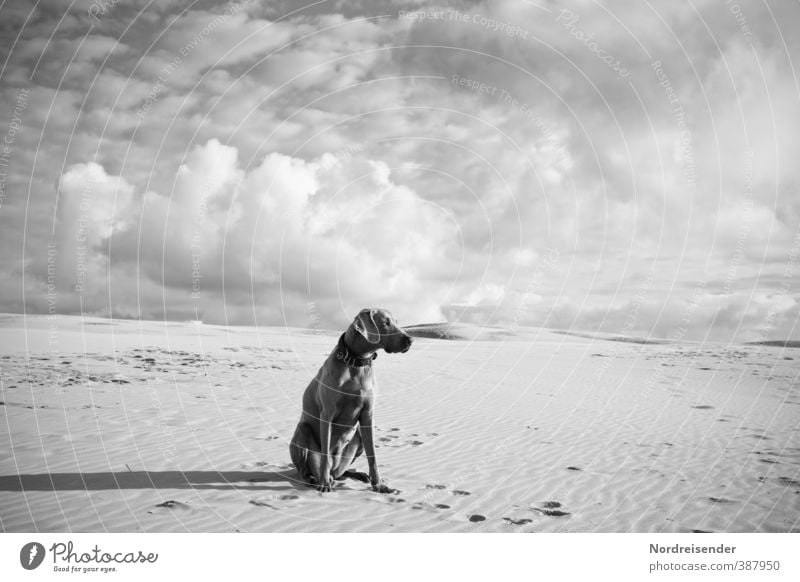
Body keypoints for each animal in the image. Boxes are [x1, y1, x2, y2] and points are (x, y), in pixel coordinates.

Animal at [290, 308, 412, 496]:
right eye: (385, 323)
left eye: (396, 322)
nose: (410, 340)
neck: (356, 363)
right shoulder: (327, 414)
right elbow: (325, 453)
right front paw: (324, 484)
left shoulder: (368, 415)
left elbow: (373, 455)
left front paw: (379, 485)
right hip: (302, 433)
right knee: (306, 469)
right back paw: (315, 479)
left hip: (357, 439)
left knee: (340, 472)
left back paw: (356, 475)